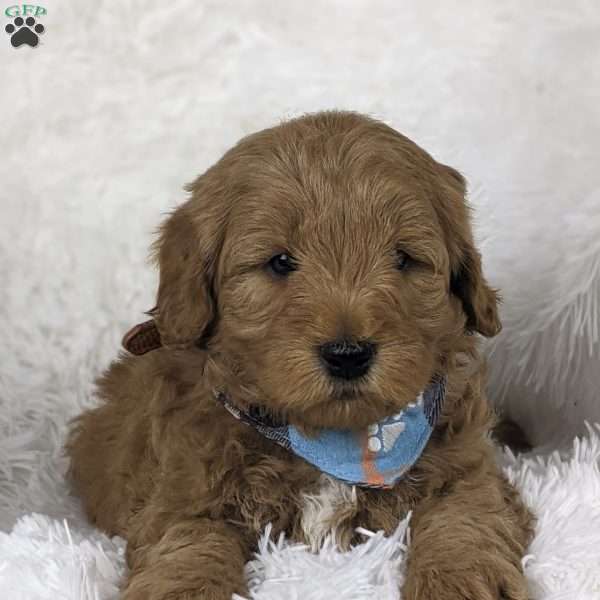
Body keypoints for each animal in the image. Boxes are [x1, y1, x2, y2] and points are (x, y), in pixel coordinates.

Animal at [67, 112, 536, 600]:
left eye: (403, 258)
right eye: (279, 262)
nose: (347, 355)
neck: (334, 444)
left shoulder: (468, 470)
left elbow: (464, 520)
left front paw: (458, 583)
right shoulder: (182, 490)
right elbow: (189, 544)